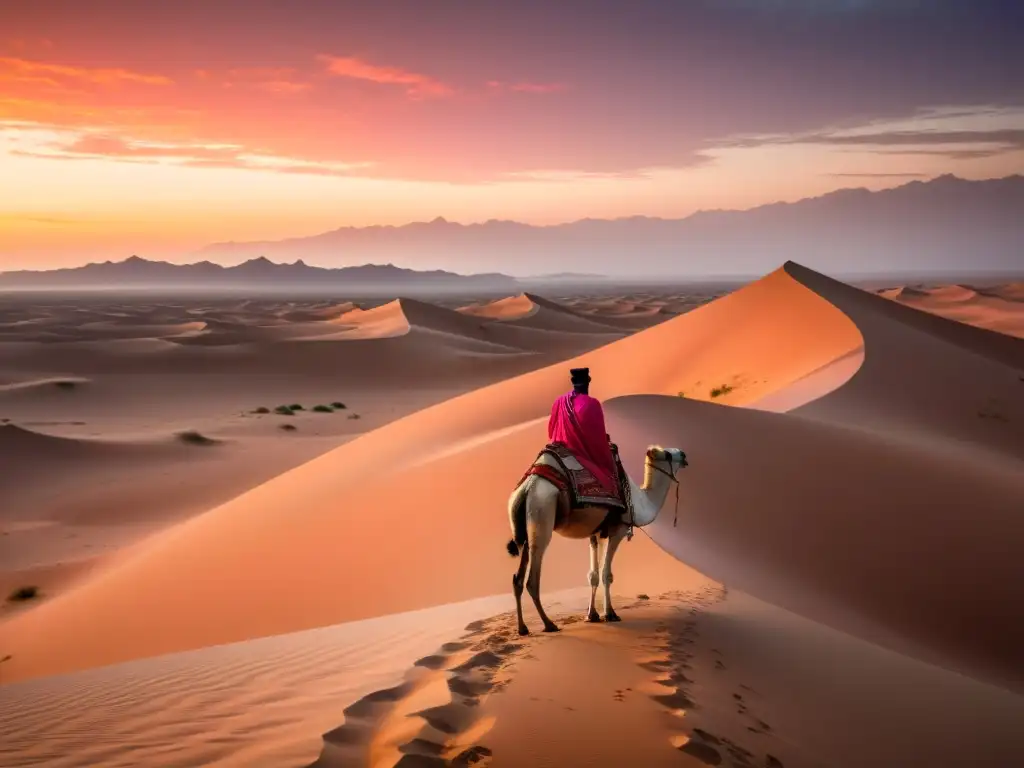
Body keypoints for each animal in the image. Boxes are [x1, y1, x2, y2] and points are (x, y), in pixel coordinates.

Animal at [505, 444, 688, 638]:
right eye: (668, 454)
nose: (684, 455)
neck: (641, 502)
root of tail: (527, 487)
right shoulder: (618, 530)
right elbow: (606, 574)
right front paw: (610, 614)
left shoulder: (596, 533)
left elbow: (593, 575)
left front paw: (592, 615)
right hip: (542, 513)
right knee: (532, 579)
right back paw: (549, 624)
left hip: (523, 526)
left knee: (517, 579)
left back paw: (522, 628)